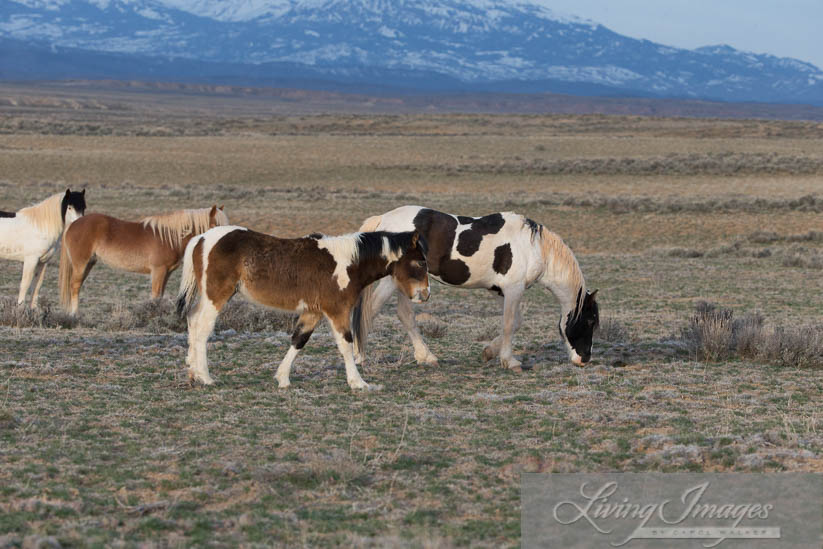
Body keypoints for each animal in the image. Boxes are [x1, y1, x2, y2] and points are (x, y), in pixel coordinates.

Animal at [59, 204, 229, 314]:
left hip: (89, 263)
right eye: (215, 225)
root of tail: (73, 224)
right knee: (74, 286)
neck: (169, 237)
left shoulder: (166, 273)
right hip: (81, 264)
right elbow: (155, 295)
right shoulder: (158, 271)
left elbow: (159, 296)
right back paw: (74, 315)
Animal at [175, 226, 432, 390]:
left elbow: (299, 340)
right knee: (202, 329)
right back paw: (205, 377)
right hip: (217, 297)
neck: (348, 264)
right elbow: (346, 344)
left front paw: (282, 379)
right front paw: (358, 382)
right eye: (420, 261)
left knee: (192, 320)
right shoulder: (337, 311)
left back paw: (192, 372)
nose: (425, 294)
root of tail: (201, 238)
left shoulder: (313, 312)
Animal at [354, 206, 600, 372]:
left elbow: (515, 322)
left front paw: (489, 352)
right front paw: (510, 361)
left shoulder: (501, 291)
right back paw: (359, 357)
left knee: (404, 315)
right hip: (391, 283)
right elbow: (509, 324)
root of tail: (383, 219)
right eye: (589, 321)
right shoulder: (514, 289)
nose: (585, 359)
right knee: (370, 311)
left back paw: (426, 357)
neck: (534, 248)